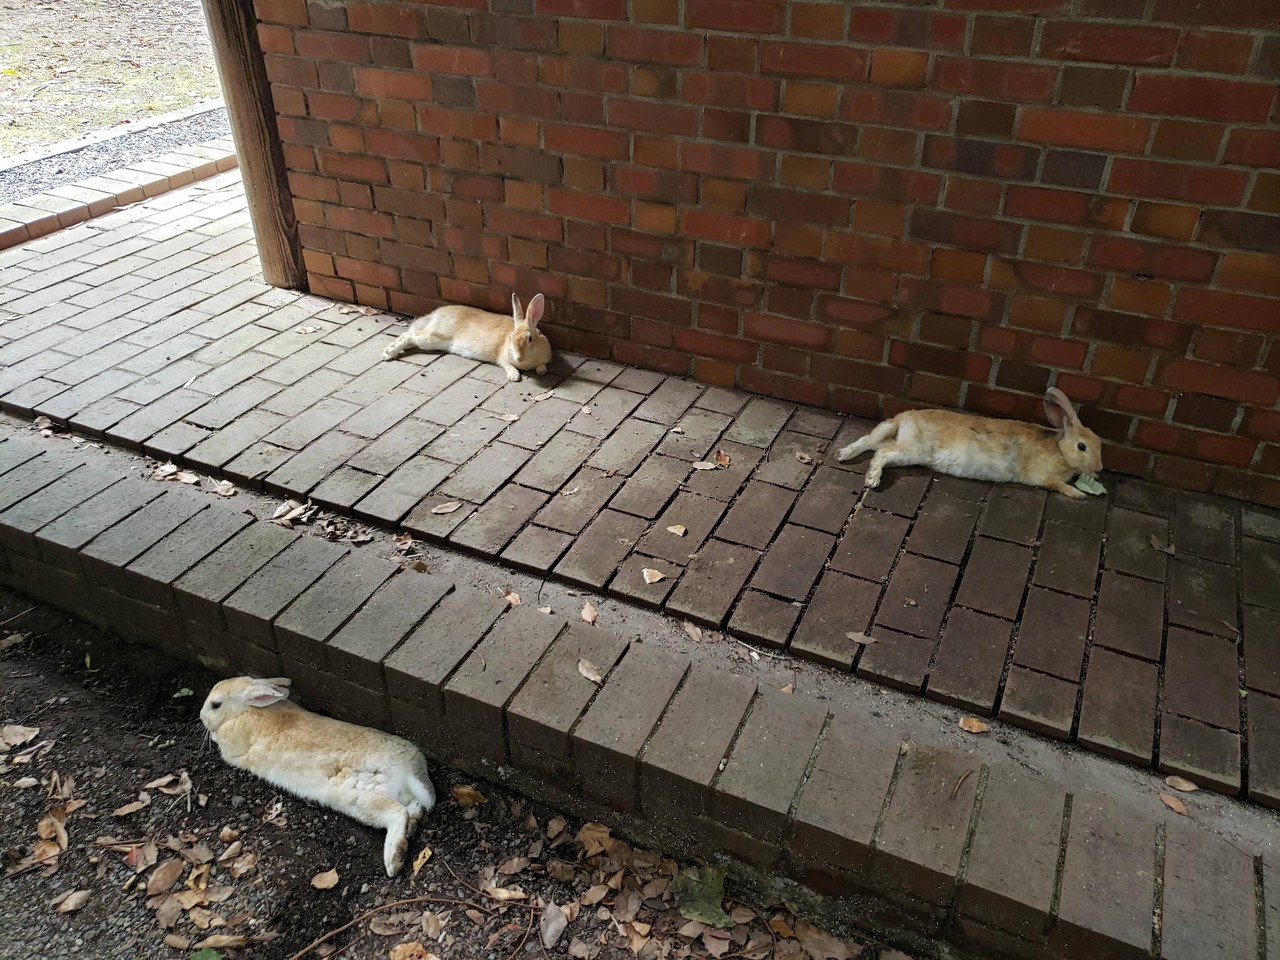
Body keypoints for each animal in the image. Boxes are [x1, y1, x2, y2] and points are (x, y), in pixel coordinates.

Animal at [199, 677, 436, 877]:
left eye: (216, 704)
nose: (201, 716)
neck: (244, 710)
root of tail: (410, 770)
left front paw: (212, 735)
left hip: (363, 799)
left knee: (397, 813)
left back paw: (394, 860)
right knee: (414, 809)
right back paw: (410, 831)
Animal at [381, 291, 553, 382]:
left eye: (530, 339)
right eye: (511, 338)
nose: (519, 358)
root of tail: (436, 314)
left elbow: (542, 365)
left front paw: (541, 371)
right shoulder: (502, 359)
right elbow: (506, 365)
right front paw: (514, 376)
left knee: (408, 335)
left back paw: (388, 351)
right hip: (433, 338)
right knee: (409, 336)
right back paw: (388, 354)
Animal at [836, 387, 1103, 499]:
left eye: (1100, 443)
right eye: (1082, 446)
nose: (1099, 468)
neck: (1059, 449)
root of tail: (905, 417)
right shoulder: (1041, 476)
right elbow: (1058, 485)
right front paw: (1080, 495)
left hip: (898, 441)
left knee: (870, 443)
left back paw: (842, 454)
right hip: (912, 450)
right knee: (882, 455)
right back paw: (872, 480)